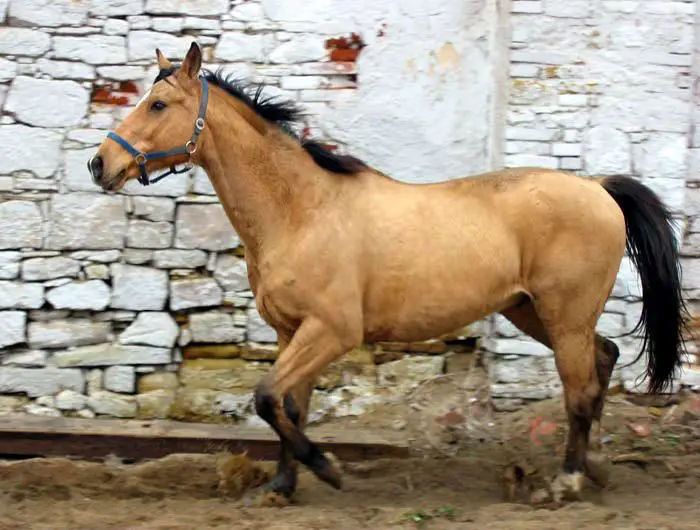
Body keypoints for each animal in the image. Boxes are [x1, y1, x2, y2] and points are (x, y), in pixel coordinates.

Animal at [86, 43, 684, 502]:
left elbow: (266, 398)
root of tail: (598, 188)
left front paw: (327, 469)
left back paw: (565, 482)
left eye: (158, 103)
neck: (302, 211)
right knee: (604, 360)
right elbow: (290, 405)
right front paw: (280, 488)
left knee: (580, 391)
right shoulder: (291, 332)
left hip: (564, 316)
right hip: (532, 312)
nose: (100, 165)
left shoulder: (333, 331)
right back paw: (596, 466)